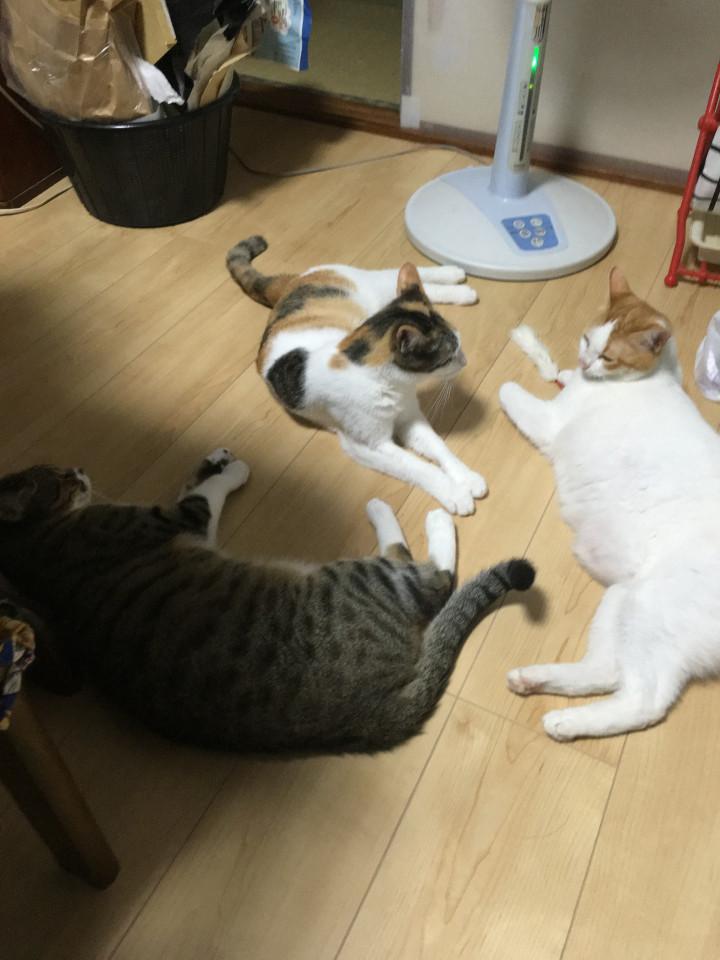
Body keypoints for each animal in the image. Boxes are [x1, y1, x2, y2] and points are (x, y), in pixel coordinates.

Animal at [0, 452, 534, 755]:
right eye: (60, 480)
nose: (80, 469)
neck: (28, 543)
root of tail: (360, 715)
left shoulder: (188, 520)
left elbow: (199, 482)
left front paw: (215, 458)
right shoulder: (180, 520)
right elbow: (206, 494)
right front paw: (231, 468)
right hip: (359, 579)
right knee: (432, 580)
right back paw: (417, 514)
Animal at [226, 236, 487, 515]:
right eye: (449, 357)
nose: (465, 361)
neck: (394, 386)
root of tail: (292, 283)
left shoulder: (410, 416)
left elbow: (439, 446)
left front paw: (467, 477)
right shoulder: (368, 445)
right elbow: (416, 466)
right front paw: (455, 493)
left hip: (374, 287)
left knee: (401, 273)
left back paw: (455, 277)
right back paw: (459, 283)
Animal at [499, 267, 720, 741]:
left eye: (608, 357)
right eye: (586, 340)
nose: (583, 365)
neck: (658, 375)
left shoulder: (550, 422)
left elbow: (508, 390)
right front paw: (559, 368)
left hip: (651, 611)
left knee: (645, 701)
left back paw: (564, 723)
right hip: (623, 599)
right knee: (606, 671)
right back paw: (534, 679)